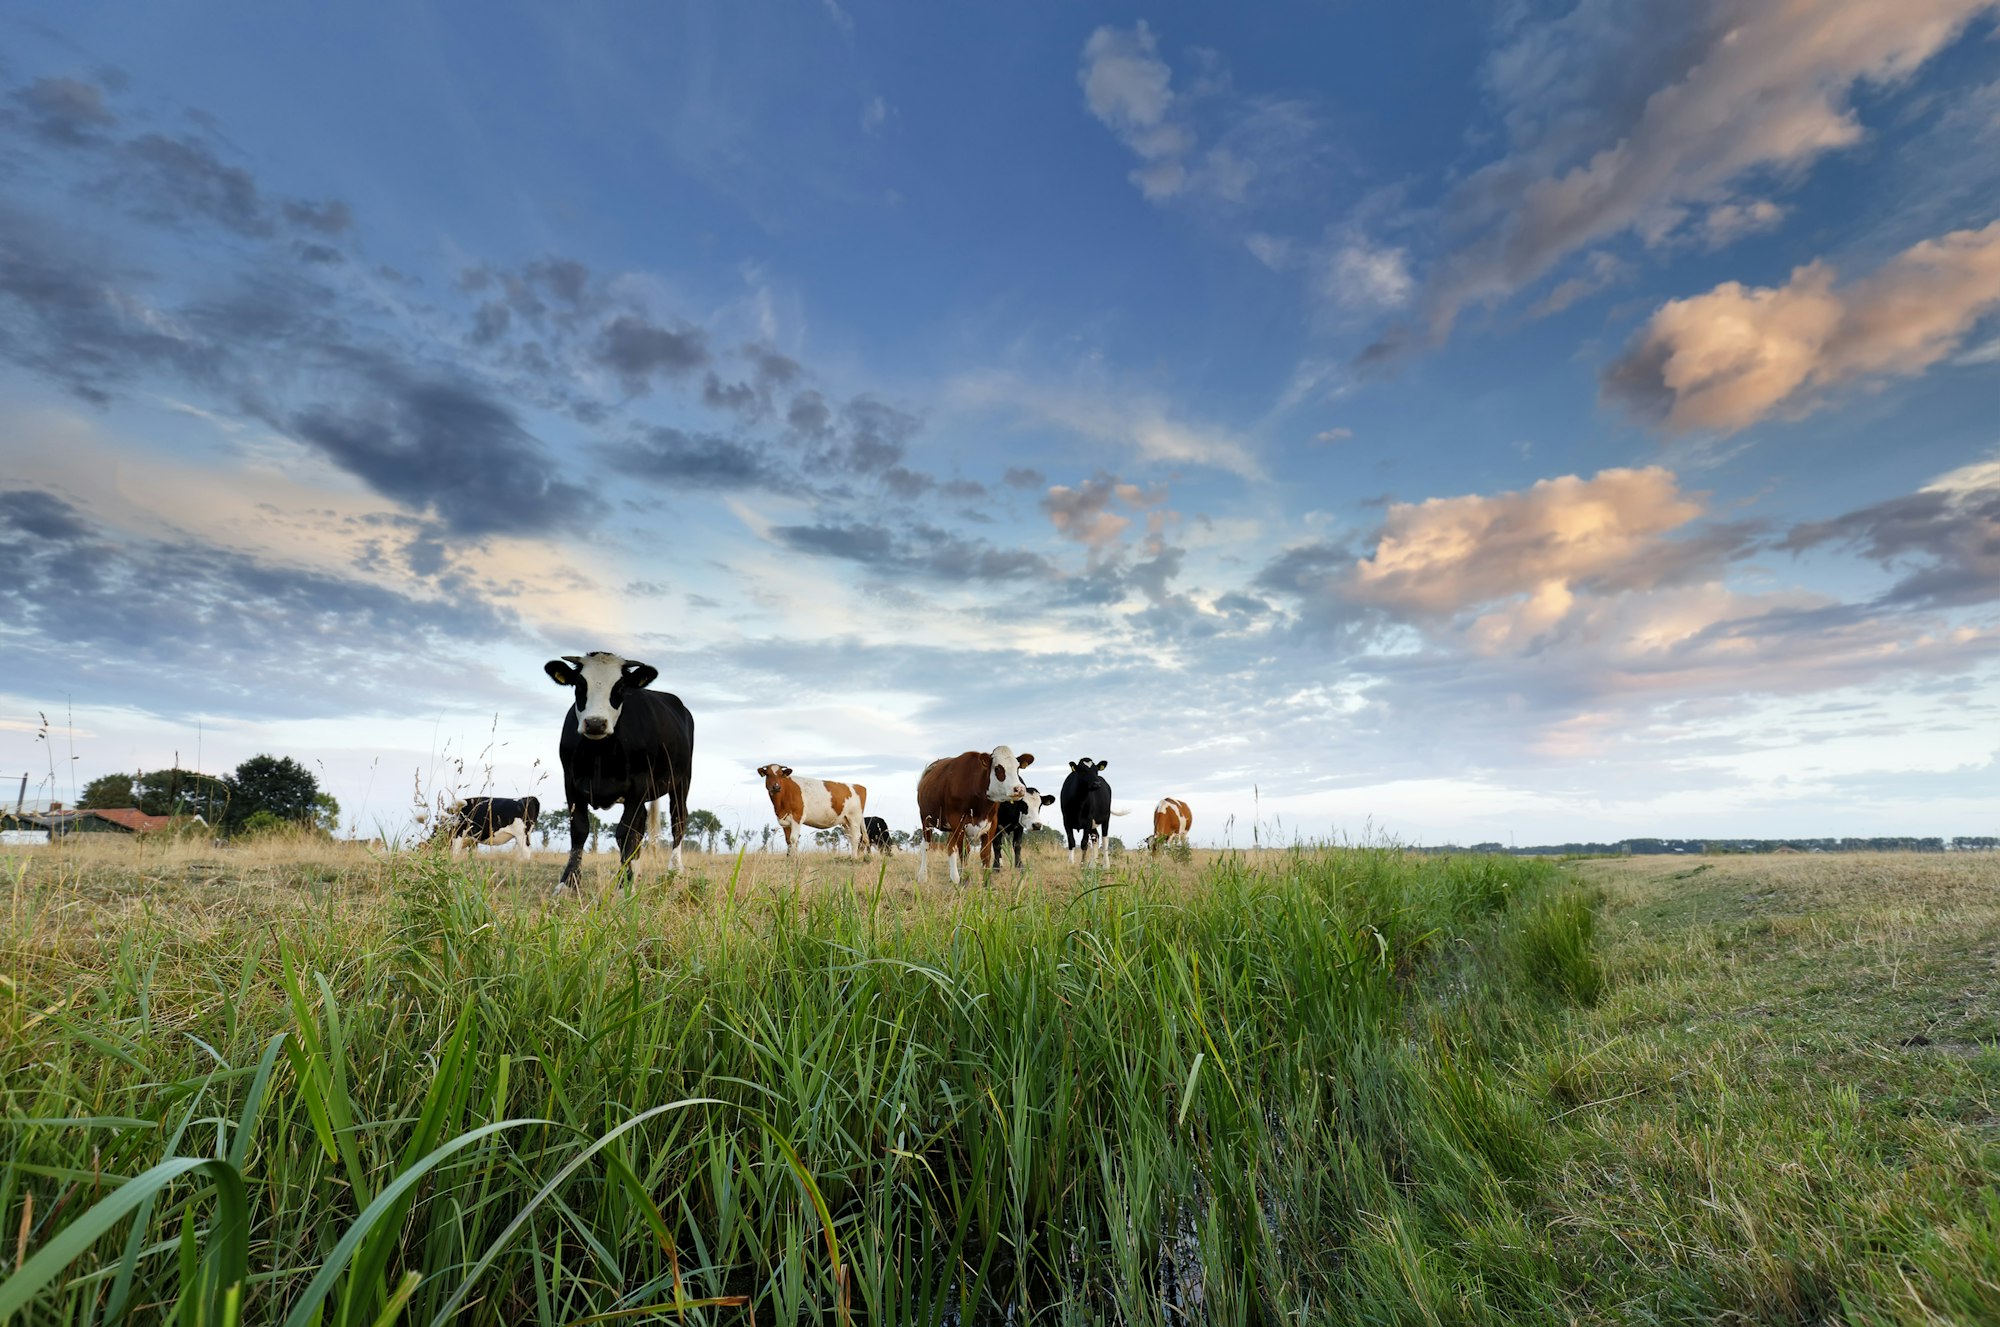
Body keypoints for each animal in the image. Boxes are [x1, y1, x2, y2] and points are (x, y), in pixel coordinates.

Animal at [545, 652, 694, 891]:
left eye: (620, 687)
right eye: (579, 685)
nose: (596, 723)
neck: (599, 754)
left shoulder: (639, 784)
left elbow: (625, 833)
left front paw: (624, 883)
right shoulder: (571, 782)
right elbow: (579, 830)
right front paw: (568, 883)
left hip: (682, 780)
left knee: (678, 820)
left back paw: (675, 871)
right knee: (642, 825)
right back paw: (638, 872)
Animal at [915, 746, 1034, 884]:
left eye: (1017, 767)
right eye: (998, 768)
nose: (1019, 789)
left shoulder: (991, 823)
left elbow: (985, 854)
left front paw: (987, 883)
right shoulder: (958, 820)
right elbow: (964, 851)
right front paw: (964, 880)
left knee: (950, 845)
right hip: (926, 819)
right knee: (927, 845)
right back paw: (923, 876)